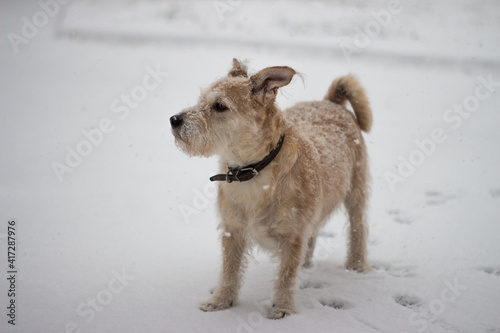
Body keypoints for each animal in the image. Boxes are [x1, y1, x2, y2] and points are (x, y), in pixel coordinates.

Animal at [170, 58, 370, 318]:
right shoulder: (232, 230)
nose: (174, 120)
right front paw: (220, 301)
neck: (253, 171)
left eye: (220, 106)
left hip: (356, 191)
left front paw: (282, 308)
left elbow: (286, 275)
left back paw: (357, 265)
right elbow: (229, 270)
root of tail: (330, 102)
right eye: (201, 99)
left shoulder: (294, 235)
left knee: (358, 228)